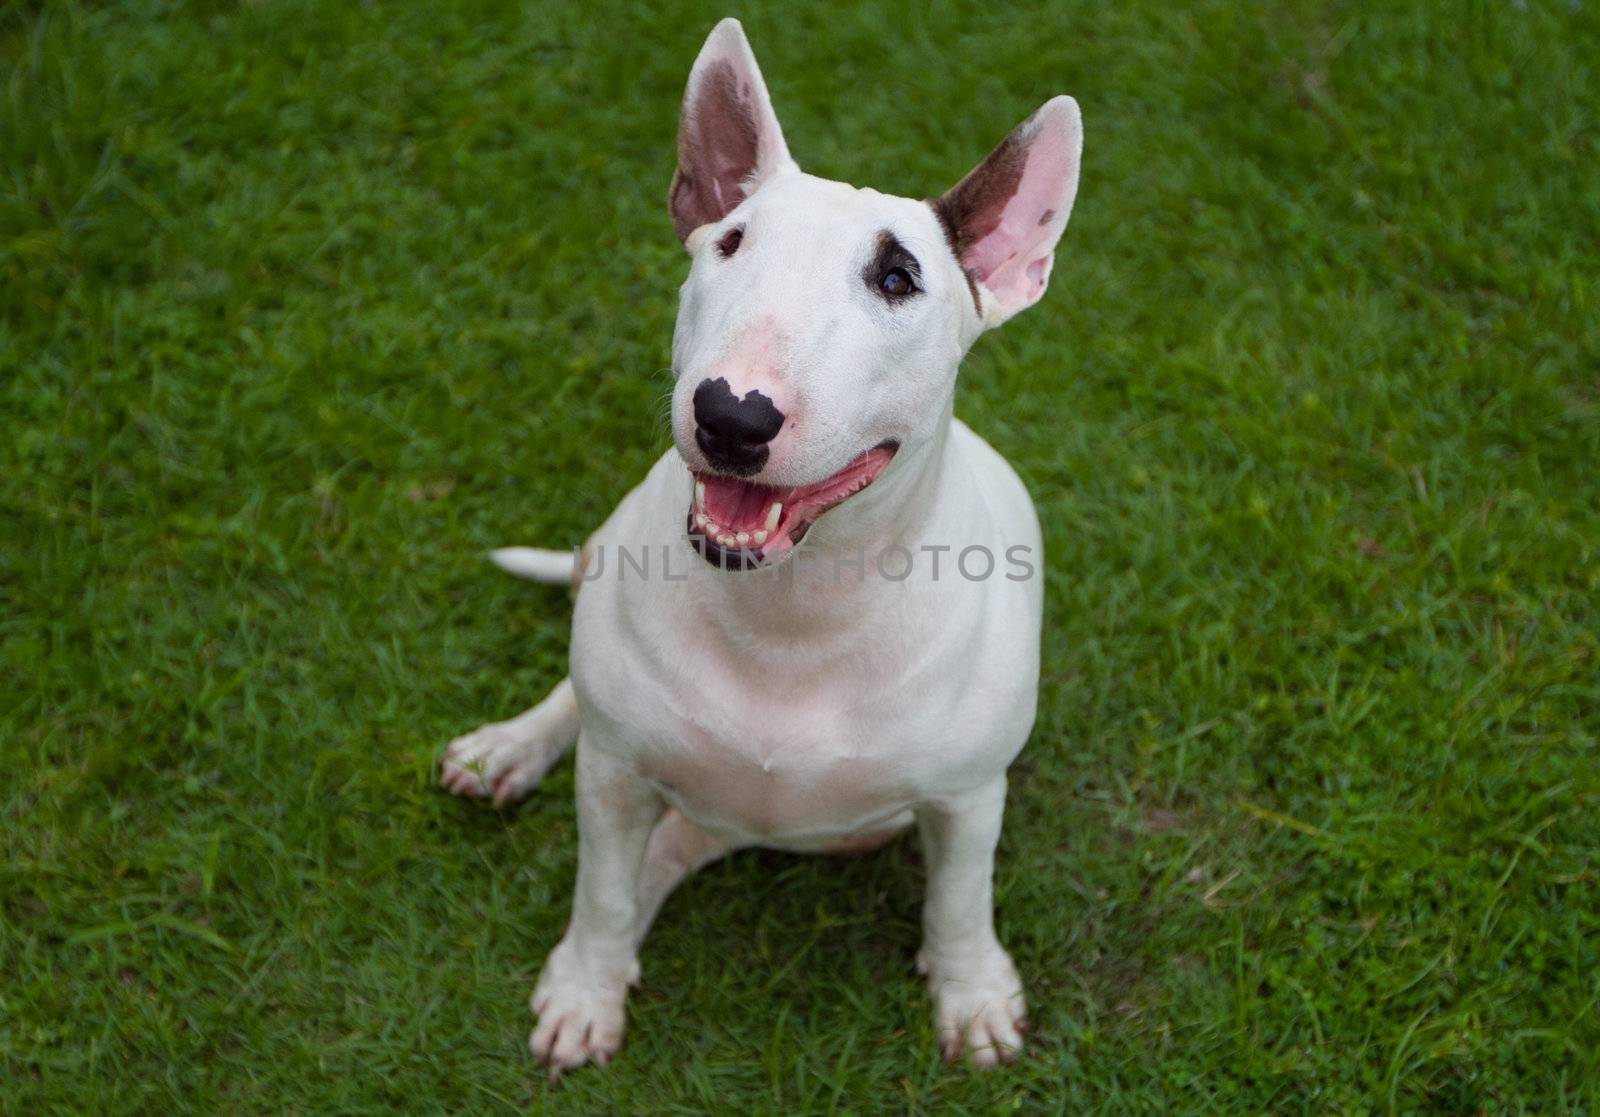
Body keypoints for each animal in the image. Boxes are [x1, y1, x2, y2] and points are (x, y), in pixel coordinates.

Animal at [444, 17, 1081, 1075]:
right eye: (731, 243)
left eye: (898, 277)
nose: (731, 414)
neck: (795, 612)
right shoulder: (613, 773)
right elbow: (599, 885)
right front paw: (582, 989)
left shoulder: (966, 794)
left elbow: (960, 896)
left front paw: (973, 992)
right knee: (579, 714)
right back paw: (509, 752)